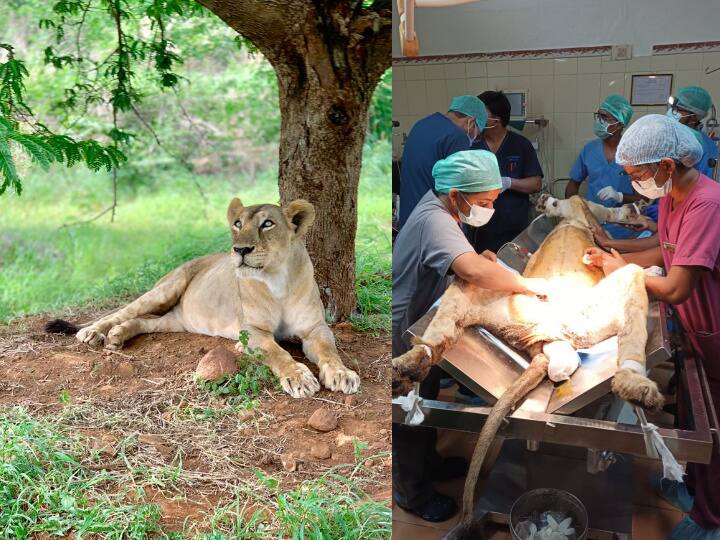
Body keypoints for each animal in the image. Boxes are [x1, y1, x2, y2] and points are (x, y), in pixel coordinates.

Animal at [46, 196, 360, 398]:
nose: (240, 250)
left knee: (143, 321)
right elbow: (278, 353)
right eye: (237, 223)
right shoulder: (251, 332)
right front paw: (298, 378)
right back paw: (93, 333)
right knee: (121, 312)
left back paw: (118, 336)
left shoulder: (315, 328)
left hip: (175, 319)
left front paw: (342, 374)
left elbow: (329, 351)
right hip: (166, 289)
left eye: (267, 224)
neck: (277, 279)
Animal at [394, 194, 664, 410]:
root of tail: (546, 331)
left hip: (480, 291)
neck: (572, 220)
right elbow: (591, 209)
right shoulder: (580, 208)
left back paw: (408, 365)